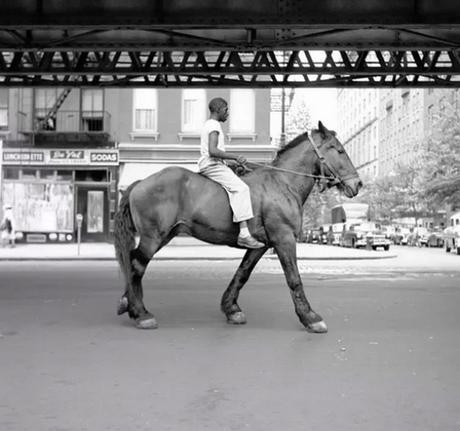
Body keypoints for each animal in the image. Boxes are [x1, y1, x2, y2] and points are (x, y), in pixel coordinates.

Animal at [113, 121, 362, 334]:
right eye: (338, 149)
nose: (357, 184)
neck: (282, 183)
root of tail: (140, 183)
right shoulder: (284, 239)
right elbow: (293, 278)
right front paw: (310, 317)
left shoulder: (261, 245)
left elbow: (242, 273)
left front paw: (231, 308)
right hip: (153, 237)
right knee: (136, 265)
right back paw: (140, 312)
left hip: (164, 235)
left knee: (133, 262)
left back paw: (129, 303)